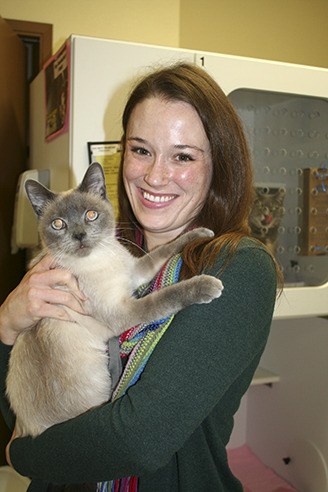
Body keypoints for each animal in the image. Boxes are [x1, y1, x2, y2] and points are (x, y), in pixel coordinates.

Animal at [6, 162, 223, 438]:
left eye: (90, 215)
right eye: (58, 224)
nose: (79, 236)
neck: (100, 260)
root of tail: (26, 428)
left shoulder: (134, 271)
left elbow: (167, 248)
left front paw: (201, 233)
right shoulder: (124, 312)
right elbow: (168, 295)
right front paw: (208, 285)